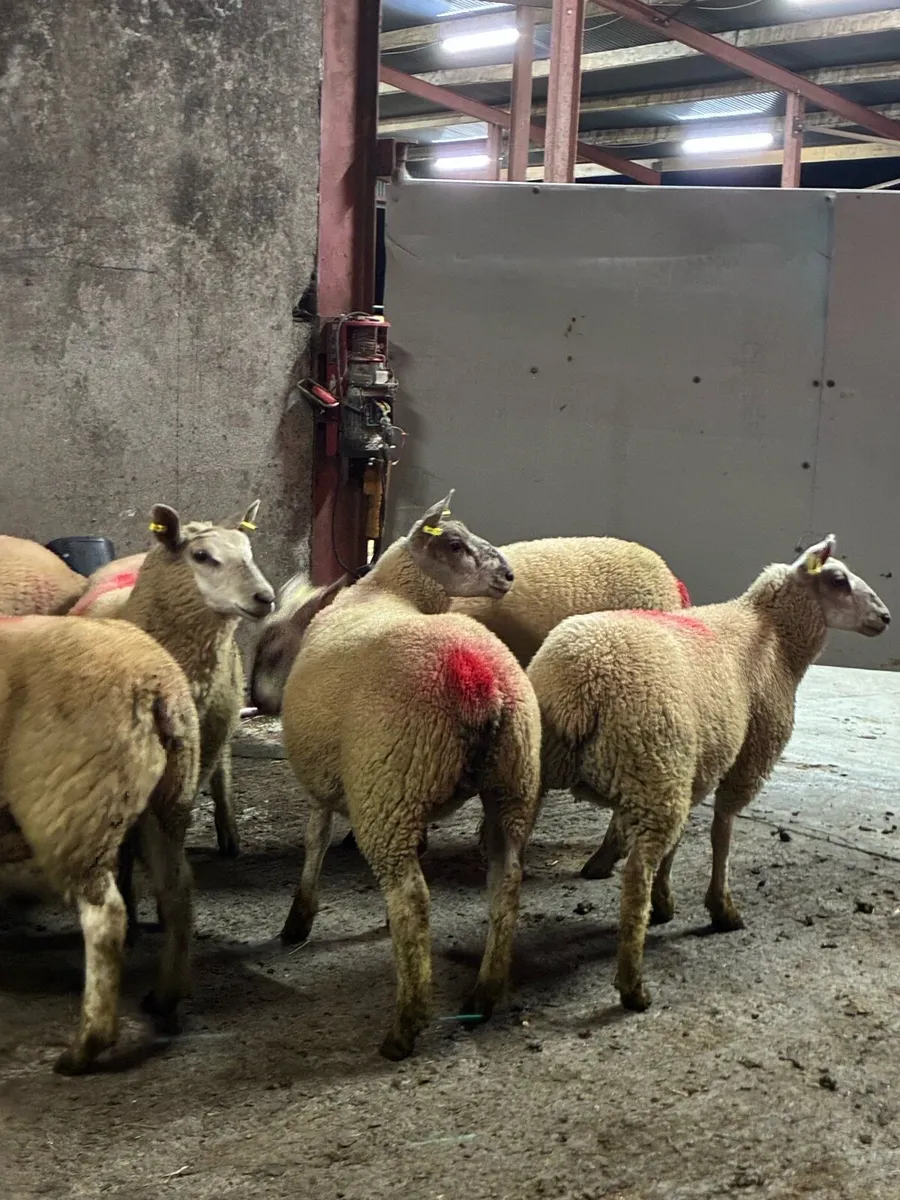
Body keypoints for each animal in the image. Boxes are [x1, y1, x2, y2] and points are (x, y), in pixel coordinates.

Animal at [0, 614, 199, 1074]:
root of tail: (155, 682)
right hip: (165, 802)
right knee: (176, 891)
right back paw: (164, 998)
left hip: (72, 811)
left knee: (105, 918)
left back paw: (86, 1046)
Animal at [277, 492, 542, 1061]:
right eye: (456, 544)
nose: (508, 575)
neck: (386, 592)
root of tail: (480, 681)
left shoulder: (327, 781)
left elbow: (315, 838)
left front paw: (299, 918)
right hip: (509, 781)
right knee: (505, 880)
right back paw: (484, 993)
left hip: (388, 789)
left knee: (412, 898)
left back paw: (405, 1024)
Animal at [527, 535, 890, 1015]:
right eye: (837, 580)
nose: (885, 617)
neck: (772, 634)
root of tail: (578, 685)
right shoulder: (749, 754)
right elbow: (722, 833)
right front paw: (720, 908)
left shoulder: (699, 760)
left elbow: (683, 839)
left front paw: (666, 900)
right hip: (654, 765)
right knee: (635, 875)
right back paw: (633, 986)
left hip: (565, 769)